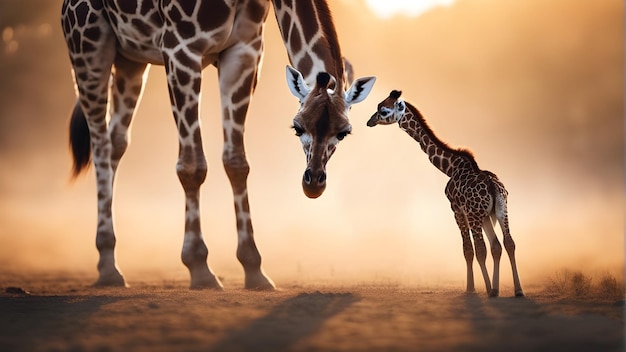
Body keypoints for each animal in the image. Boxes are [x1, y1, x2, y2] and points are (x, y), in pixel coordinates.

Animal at [62, 0, 376, 288]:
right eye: (297, 127)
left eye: (344, 132)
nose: (313, 184)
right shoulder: (180, 47)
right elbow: (192, 166)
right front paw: (199, 267)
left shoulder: (245, 50)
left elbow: (236, 162)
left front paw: (254, 269)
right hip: (88, 45)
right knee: (100, 145)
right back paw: (107, 267)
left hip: (131, 59)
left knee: (116, 142)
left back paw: (112, 261)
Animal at [366, 90, 520, 296]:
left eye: (383, 110)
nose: (369, 121)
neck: (450, 168)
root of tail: (492, 187)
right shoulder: (486, 214)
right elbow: (494, 246)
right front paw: (491, 288)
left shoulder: (457, 210)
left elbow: (468, 250)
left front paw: (471, 288)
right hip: (501, 211)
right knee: (507, 243)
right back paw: (515, 291)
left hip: (475, 215)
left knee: (482, 247)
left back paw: (491, 290)